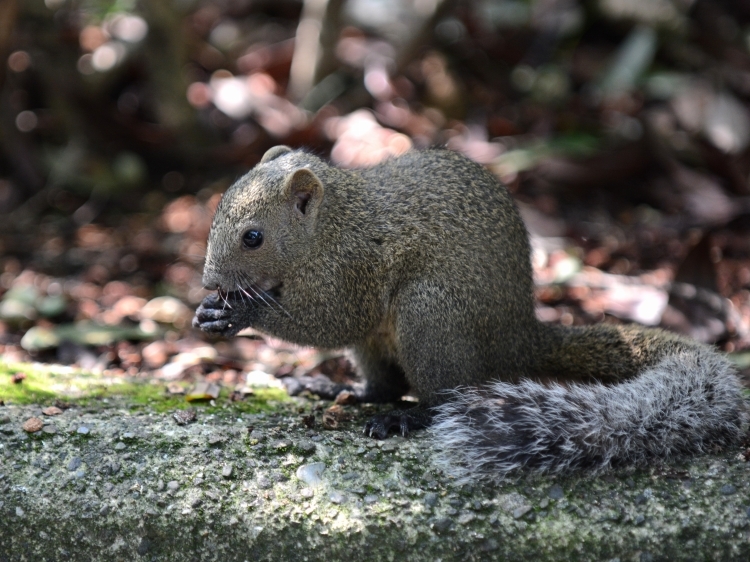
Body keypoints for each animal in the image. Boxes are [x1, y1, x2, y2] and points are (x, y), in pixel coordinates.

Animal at [194, 145, 748, 482]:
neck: (330, 225)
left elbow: (332, 320)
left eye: (253, 237)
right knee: (384, 383)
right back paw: (341, 391)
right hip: (384, 343)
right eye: (217, 210)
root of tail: (521, 340)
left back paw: (407, 418)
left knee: (443, 393)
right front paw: (214, 310)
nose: (208, 282)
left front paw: (240, 315)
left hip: (429, 315)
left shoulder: (353, 270)